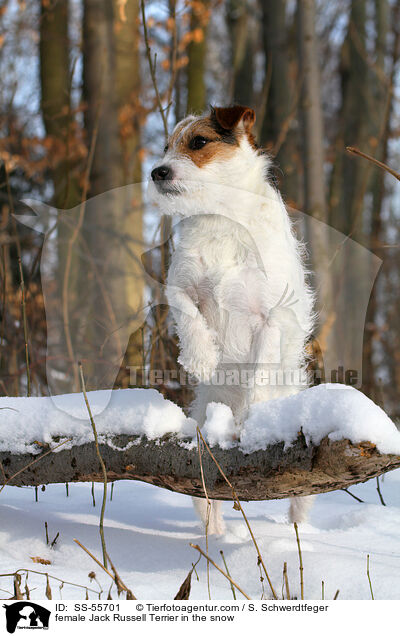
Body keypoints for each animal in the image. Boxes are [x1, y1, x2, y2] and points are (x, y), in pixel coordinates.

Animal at [148, 107, 314, 536]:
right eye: (166, 147)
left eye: (198, 142)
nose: (157, 171)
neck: (221, 218)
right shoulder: (179, 286)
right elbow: (189, 314)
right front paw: (202, 357)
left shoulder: (270, 320)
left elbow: (259, 377)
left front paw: (247, 423)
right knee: (206, 501)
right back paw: (216, 537)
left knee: (300, 500)